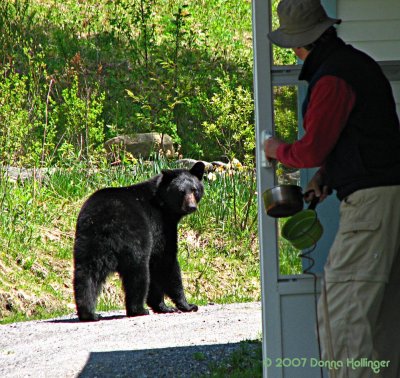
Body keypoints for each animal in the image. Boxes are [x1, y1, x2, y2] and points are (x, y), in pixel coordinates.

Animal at [72, 161, 205, 320]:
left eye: (194, 190)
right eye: (181, 191)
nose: (191, 206)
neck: (162, 204)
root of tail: (105, 219)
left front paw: (163, 306)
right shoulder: (160, 226)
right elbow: (165, 260)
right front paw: (186, 305)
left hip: (88, 239)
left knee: (86, 272)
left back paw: (89, 313)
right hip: (133, 237)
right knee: (138, 270)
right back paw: (138, 309)